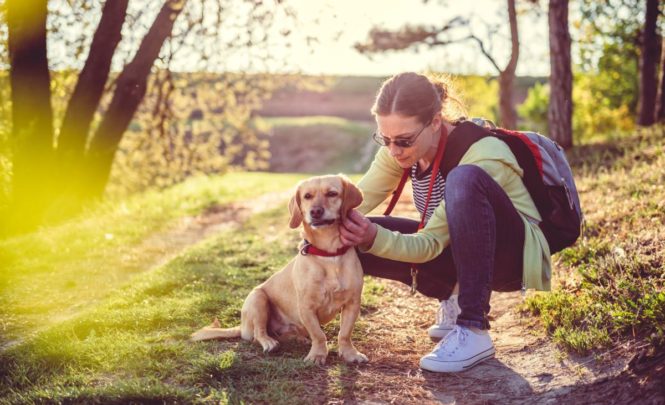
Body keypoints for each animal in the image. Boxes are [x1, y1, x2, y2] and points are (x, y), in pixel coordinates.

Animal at [191, 173, 368, 362]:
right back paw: (269, 343)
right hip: (258, 298)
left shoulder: (352, 303)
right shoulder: (306, 307)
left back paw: (297, 338)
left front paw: (350, 353)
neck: (328, 254)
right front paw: (318, 354)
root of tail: (242, 326)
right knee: (258, 333)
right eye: (307, 196)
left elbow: (344, 334)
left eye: (332, 193)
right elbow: (319, 335)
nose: (315, 211)